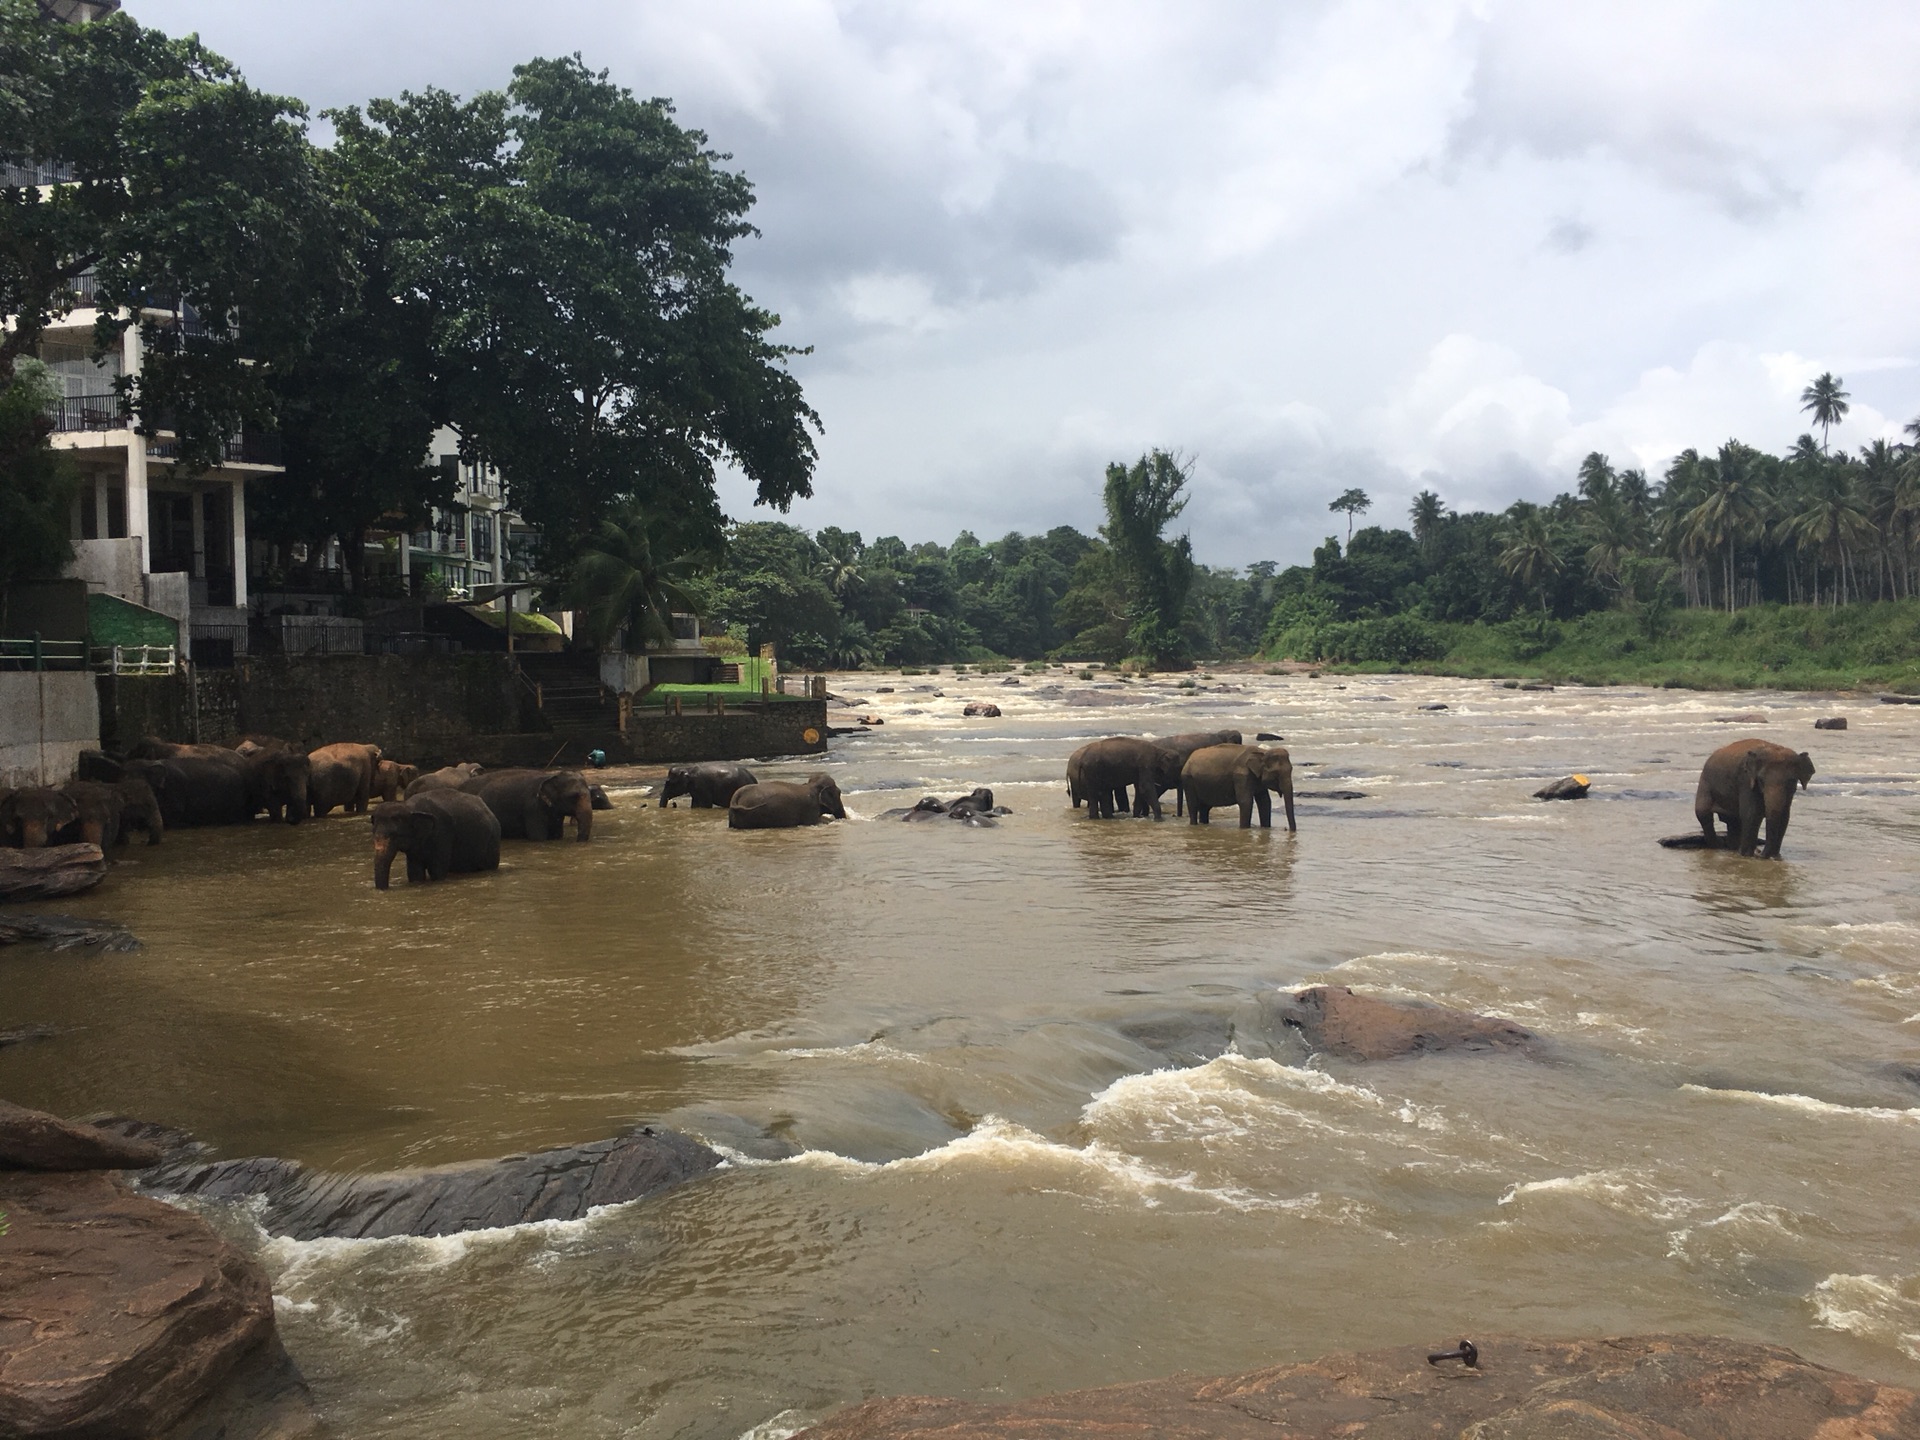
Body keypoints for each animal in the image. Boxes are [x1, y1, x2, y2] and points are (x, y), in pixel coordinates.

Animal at [368, 791, 503, 890]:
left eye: (395, 835)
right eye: (374, 835)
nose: (385, 889)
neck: (409, 807)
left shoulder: (442, 833)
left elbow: (437, 870)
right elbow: (415, 872)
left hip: (493, 841)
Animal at [458, 768, 591, 844]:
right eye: (574, 796)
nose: (578, 841)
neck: (549, 776)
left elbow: (557, 835)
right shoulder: (532, 809)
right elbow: (538, 838)